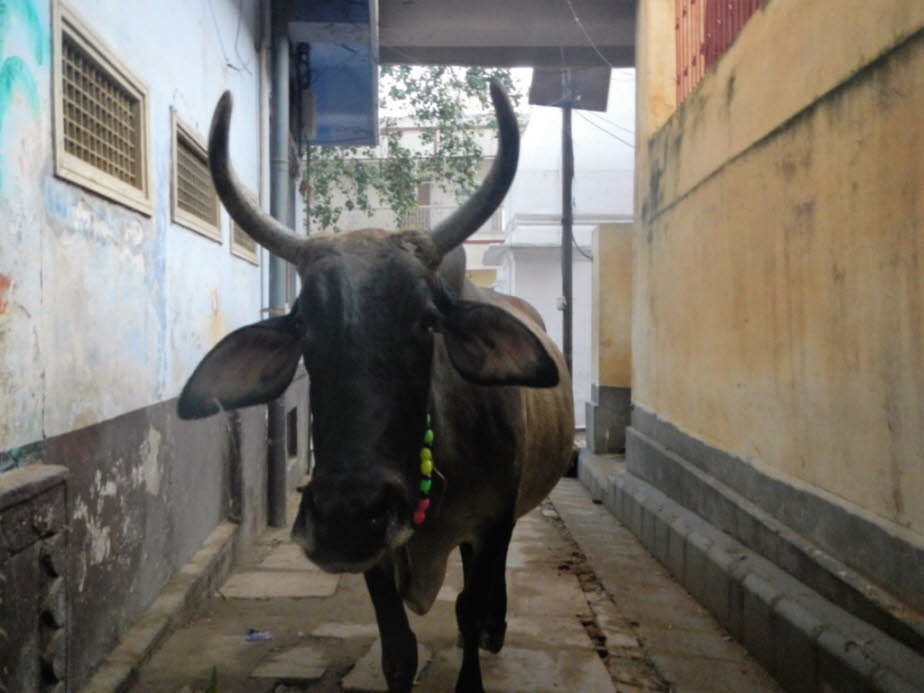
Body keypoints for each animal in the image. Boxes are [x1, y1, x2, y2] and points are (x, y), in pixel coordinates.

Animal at [177, 82, 572, 692]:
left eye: (428, 321)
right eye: (303, 325)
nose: (345, 516)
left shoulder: (494, 521)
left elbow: (470, 606)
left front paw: (479, 640)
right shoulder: (379, 557)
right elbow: (398, 651)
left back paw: (495, 628)